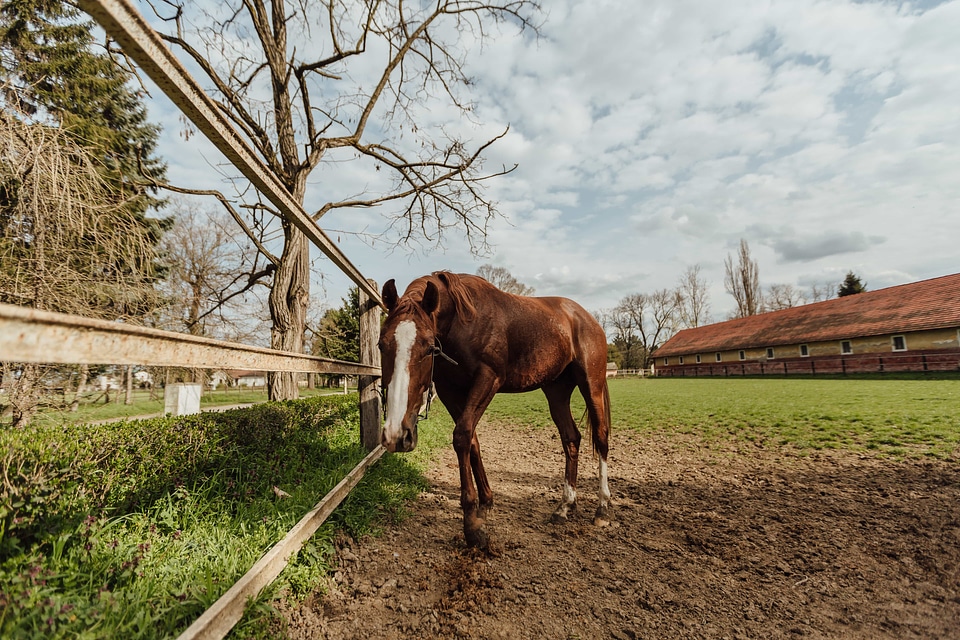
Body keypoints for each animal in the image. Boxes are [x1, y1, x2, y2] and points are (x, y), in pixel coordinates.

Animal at [378, 272, 612, 552]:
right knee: (571, 439)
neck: (462, 321)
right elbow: (472, 441)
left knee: (601, 438)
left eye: (428, 348)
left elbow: (462, 436)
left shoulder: (488, 379)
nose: (396, 435)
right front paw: (485, 504)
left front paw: (472, 526)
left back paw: (602, 509)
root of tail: (586, 317)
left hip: (592, 386)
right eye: (381, 345)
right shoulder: (450, 391)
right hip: (556, 392)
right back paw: (565, 507)